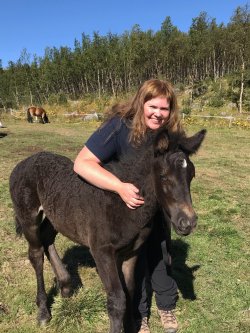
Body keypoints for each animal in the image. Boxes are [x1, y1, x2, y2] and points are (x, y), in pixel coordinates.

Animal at [9, 127, 205, 332]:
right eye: (164, 176)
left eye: (191, 175)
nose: (188, 222)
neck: (123, 204)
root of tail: (24, 162)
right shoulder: (102, 252)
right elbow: (117, 299)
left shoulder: (131, 252)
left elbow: (130, 291)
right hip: (28, 218)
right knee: (36, 254)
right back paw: (43, 312)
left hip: (55, 216)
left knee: (47, 239)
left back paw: (66, 286)